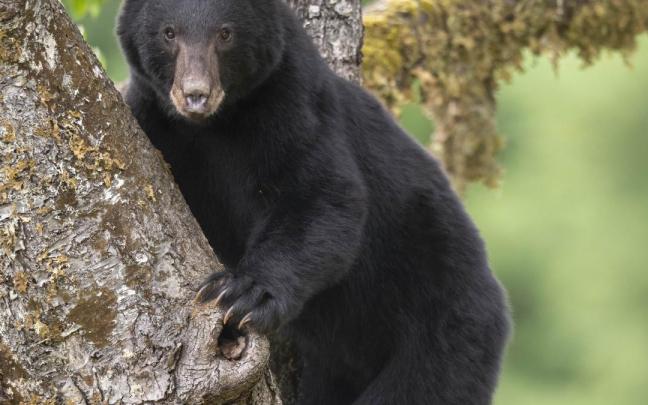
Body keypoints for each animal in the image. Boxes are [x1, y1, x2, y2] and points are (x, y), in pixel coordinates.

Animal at [117, 0, 510, 403]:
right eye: (169, 33)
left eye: (225, 33)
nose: (196, 94)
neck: (217, 125)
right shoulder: (156, 122)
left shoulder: (295, 107)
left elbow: (322, 197)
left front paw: (243, 292)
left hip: (441, 324)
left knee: (420, 385)